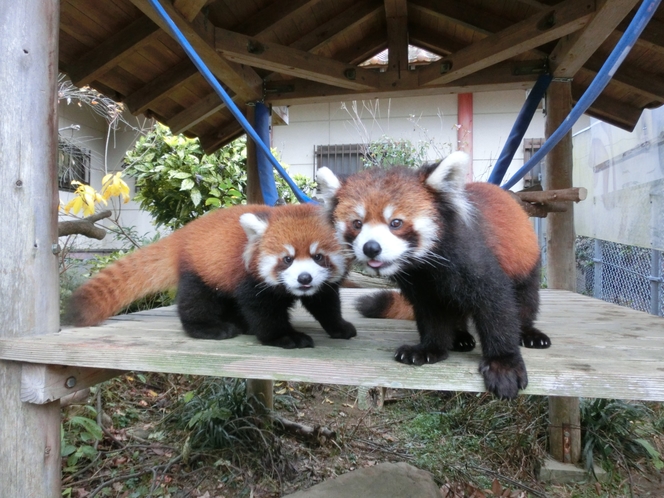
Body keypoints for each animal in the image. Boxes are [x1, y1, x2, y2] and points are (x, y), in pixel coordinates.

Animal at [67, 201, 358, 346]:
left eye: (318, 256)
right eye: (287, 259)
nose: (304, 278)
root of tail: (184, 233)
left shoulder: (323, 286)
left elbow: (325, 302)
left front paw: (339, 326)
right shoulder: (249, 278)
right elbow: (262, 311)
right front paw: (284, 336)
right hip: (201, 269)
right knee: (197, 301)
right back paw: (209, 327)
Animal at [316, 150, 548, 398]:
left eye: (395, 223)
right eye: (357, 224)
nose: (371, 248)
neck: (424, 267)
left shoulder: (472, 259)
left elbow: (497, 308)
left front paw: (503, 364)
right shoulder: (422, 286)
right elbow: (432, 315)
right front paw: (430, 349)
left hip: (526, 262)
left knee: (525, 299)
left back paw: (529, 333)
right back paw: (460, 338)